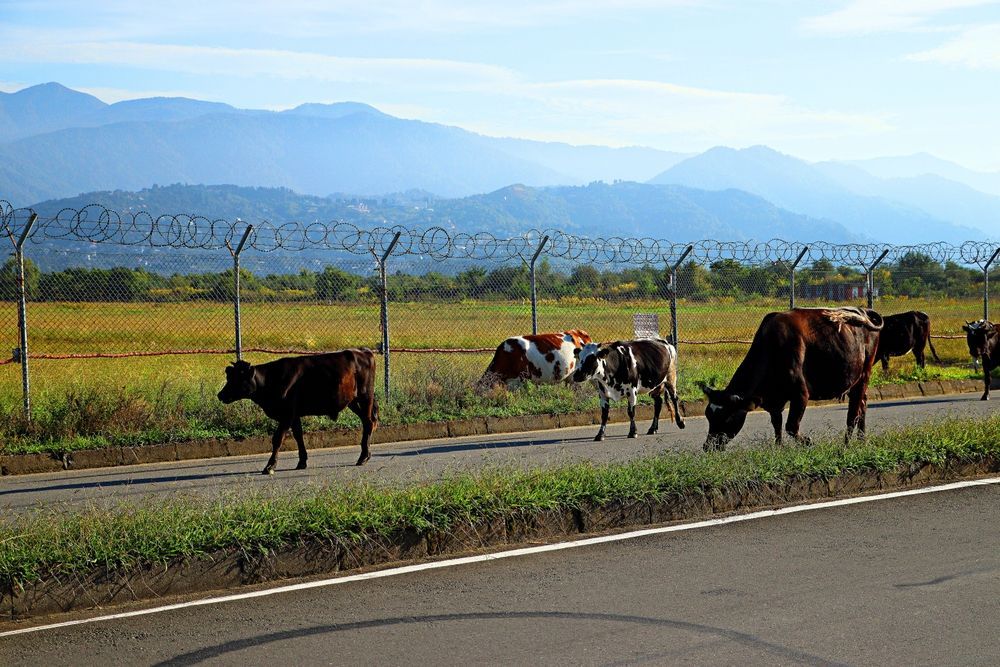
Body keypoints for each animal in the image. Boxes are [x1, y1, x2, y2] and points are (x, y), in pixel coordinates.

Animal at [217, 348, 379, 474]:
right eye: (229, 377)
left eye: (238, 379)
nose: (220, 395)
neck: (270, 380)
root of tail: (363, 351)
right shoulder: (294, 415)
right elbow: (298, 436)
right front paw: (302, 462)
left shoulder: (286, 414)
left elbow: (277, 439)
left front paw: (270, 466)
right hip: (352, 401)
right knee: (367, 422)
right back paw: (365, 455)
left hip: (365, 396)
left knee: (368, 423)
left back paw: (363, 457)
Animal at [699, 307, 883, 451]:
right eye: (708, 415)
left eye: (727, 417)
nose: (708, 446)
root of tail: (863, 310)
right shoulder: (774, 401)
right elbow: (777, 425)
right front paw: (779, 448)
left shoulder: (800, 394)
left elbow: (791, 427)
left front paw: (809, 443)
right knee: (862, 406)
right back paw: (862, 440)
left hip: (864, 375)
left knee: (853, 413)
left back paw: (847, 444)